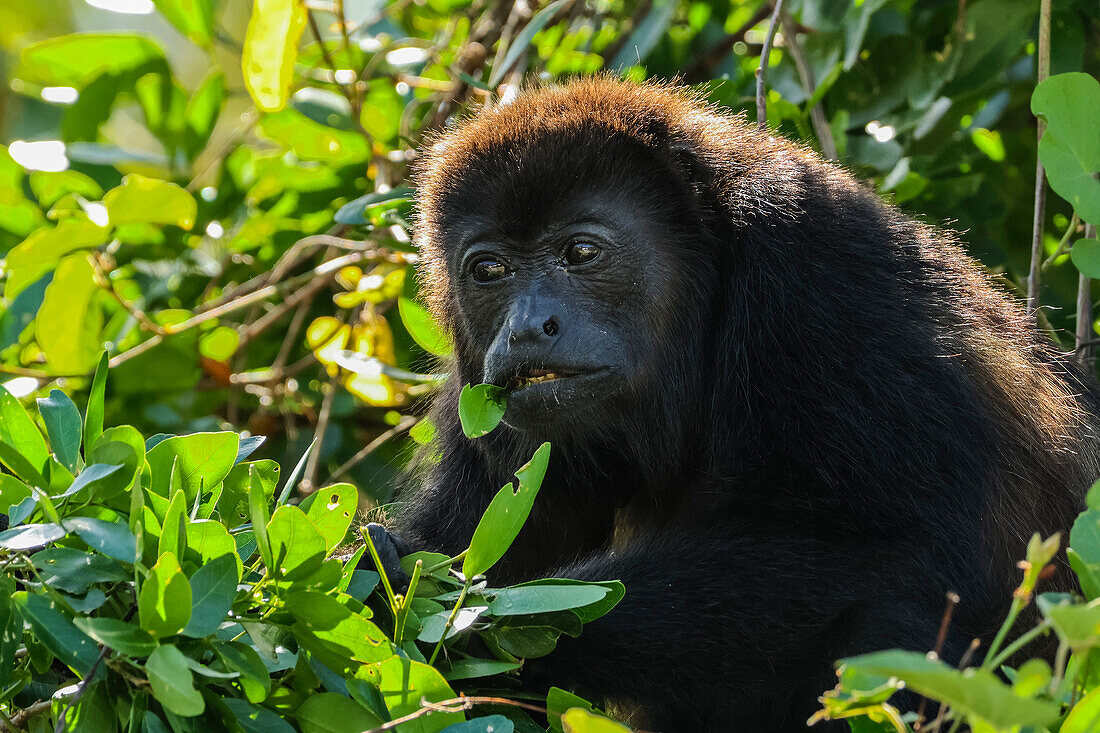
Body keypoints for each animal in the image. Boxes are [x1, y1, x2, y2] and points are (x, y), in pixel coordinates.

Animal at [367, 77, 1100, 726]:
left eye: (581, 252)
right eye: (488, 269)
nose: (524, 329)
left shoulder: (819, 276)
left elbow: (892, 551)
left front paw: (448, 608)